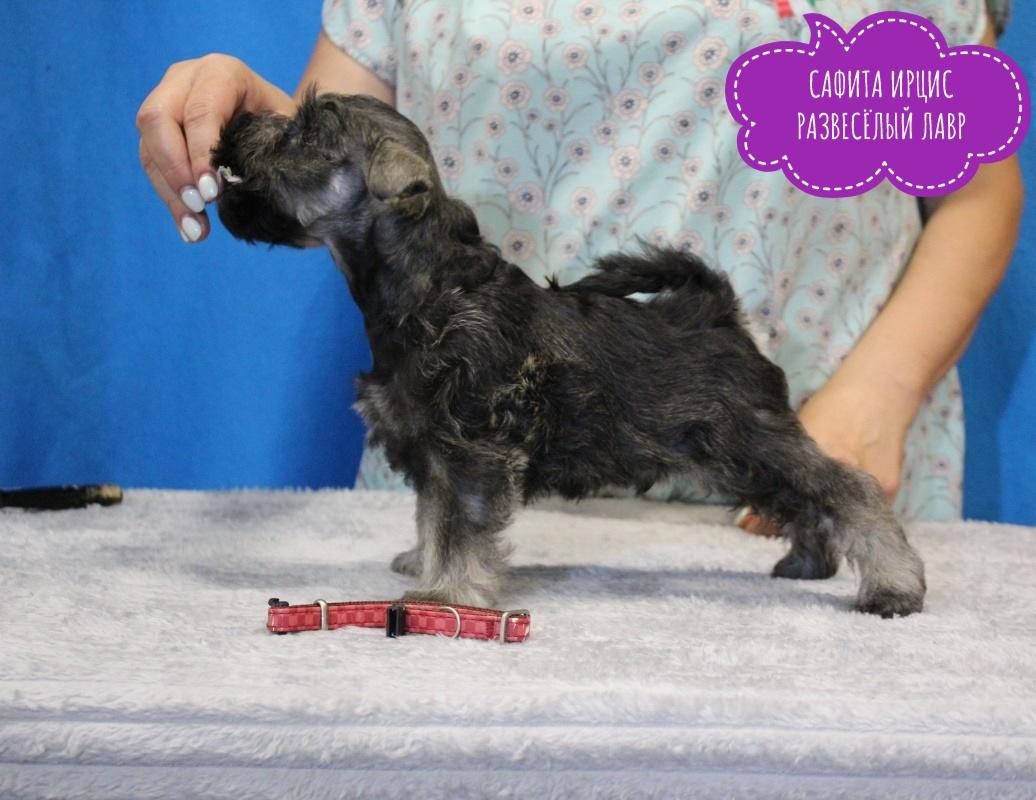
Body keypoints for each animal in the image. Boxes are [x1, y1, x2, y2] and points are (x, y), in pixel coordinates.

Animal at [211, 90, 926, 618]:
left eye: (306, 132)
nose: (237, 124)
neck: (426, 288)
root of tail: (719, 313)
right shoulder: (433, 450)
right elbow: (431, 517)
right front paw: (424, 566)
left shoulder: (472, 451)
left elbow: (460, 527)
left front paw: (448, 595)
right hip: (743, 459)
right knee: (807, 502)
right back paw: (806, 563)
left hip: (752, 440)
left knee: (848, 490)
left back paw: (892, 587)